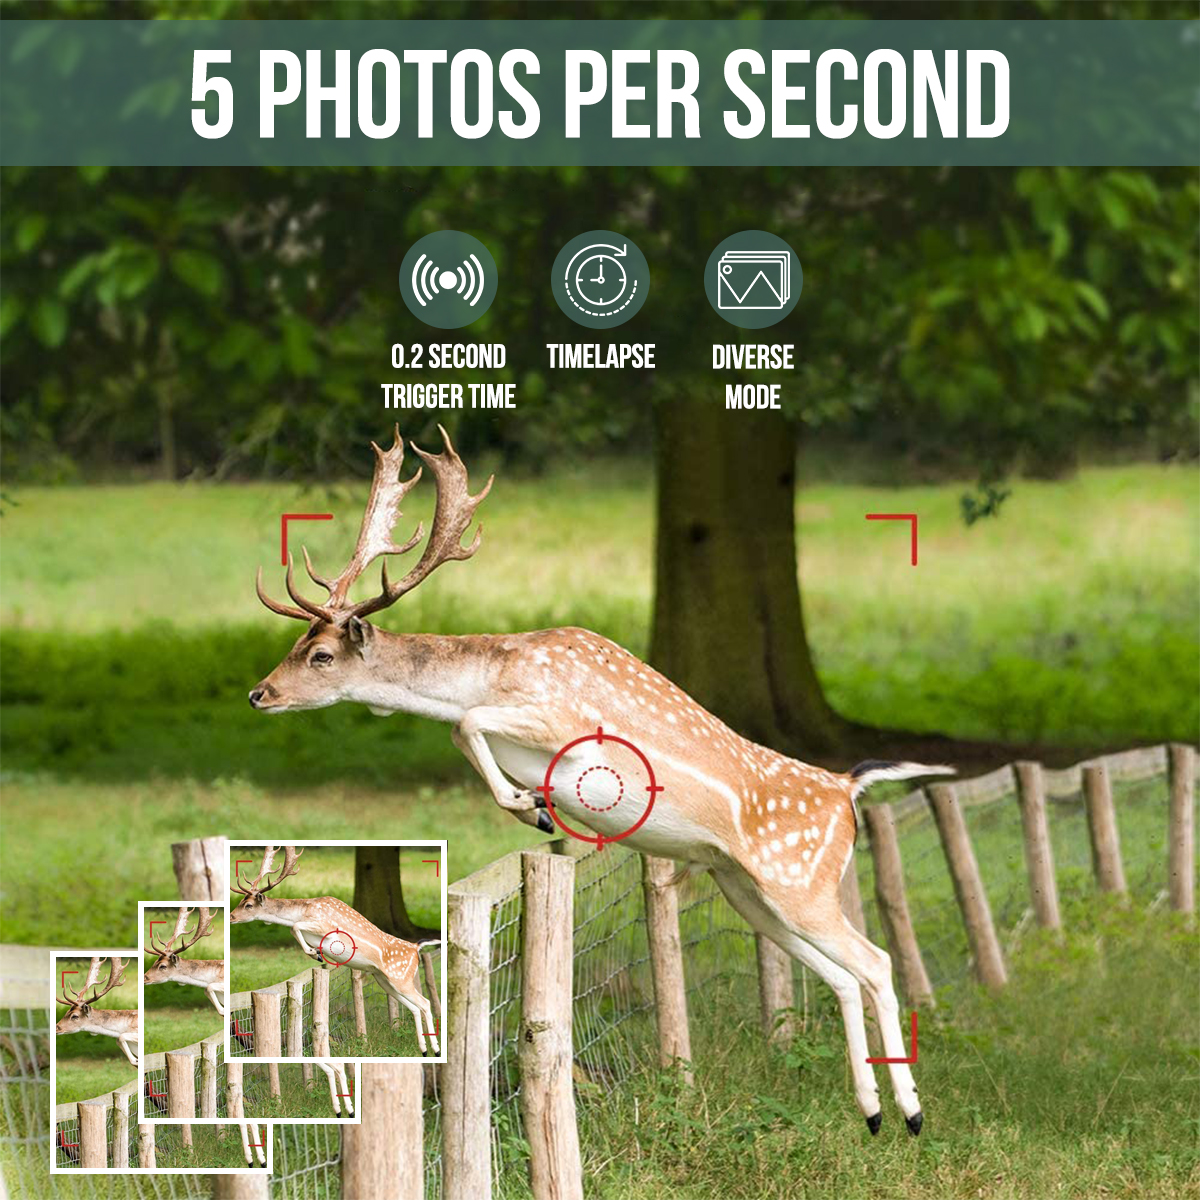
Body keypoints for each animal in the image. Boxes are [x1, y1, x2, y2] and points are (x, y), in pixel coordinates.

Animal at [229, 845, 441, 1056]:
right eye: (240, 902)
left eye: (248, 905)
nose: (231, 916)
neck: (304, 910)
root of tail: (416, 947)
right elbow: (293, 928)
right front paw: (315, 951)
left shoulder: (326, 926)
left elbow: (295, 926)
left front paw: (315, 953)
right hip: (384, 980)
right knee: (415, 1007)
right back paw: (423, 1050)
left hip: (400, 977)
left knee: (425, 1003)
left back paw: (436, 1050)